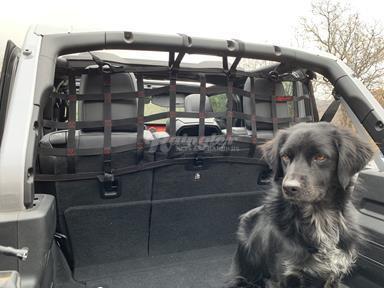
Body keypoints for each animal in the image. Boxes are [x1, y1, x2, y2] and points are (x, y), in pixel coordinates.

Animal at [226, 122, 374, 286]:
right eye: (285, 156)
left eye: (320, 157)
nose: (289, 187)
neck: (319, 218)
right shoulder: (280, 277)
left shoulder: (335, 274)